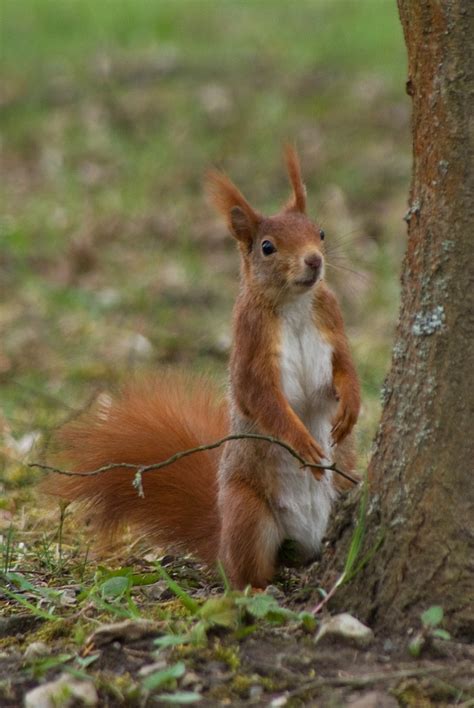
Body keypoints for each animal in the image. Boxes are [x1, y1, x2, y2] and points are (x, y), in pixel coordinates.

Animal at [46, 147, 362, 588]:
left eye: (321, 232)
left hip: (350, 486)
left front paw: (350, 407)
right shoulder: (250, 343)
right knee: (247, 571)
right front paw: (302, 443)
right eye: (267, 247)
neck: (295, 304)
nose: (314, 262)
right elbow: (259, 398)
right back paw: (253, 586)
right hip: (247, 512)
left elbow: (346, 368)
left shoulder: (331, 321)